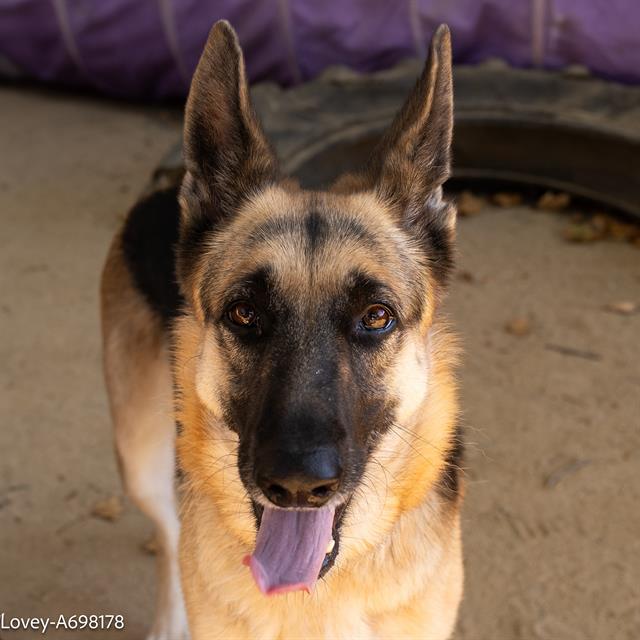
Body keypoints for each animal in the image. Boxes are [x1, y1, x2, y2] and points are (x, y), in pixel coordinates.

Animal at [100, 20, 462, 640]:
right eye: (244, 313)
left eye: (376, 317)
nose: (297, 486)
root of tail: (166, 188)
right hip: (141, 458)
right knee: (169, 530)